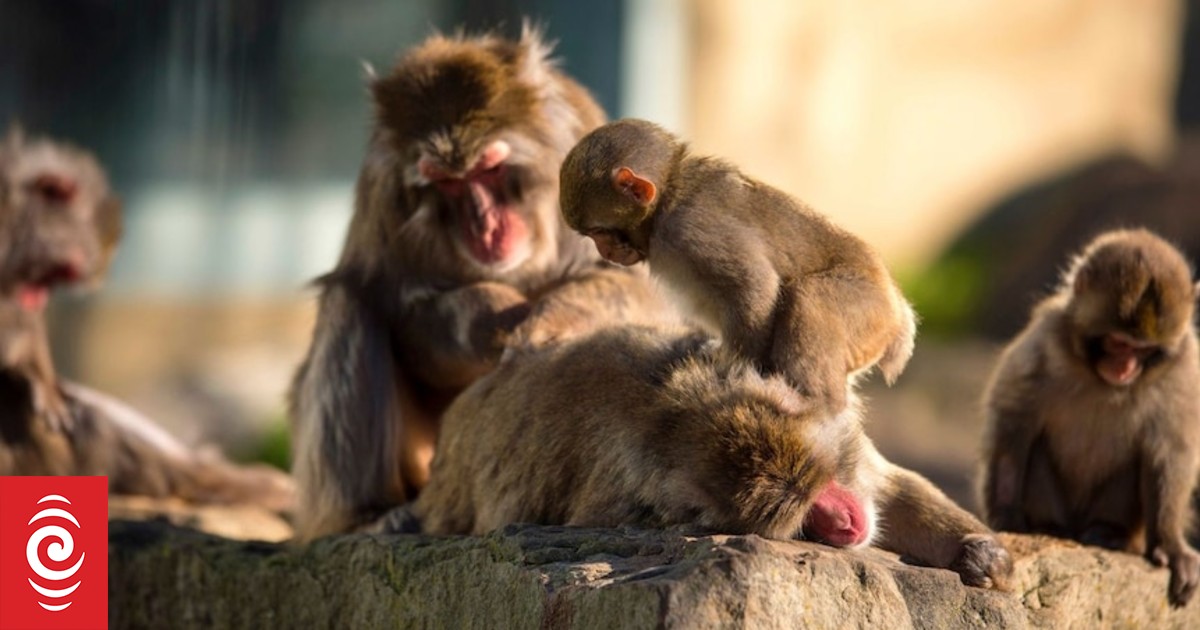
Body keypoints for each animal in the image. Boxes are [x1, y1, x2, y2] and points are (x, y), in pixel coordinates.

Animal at [288, 27, 673, 542]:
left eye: (489, 169)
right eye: (448, 182)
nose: (485, 226)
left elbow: (637, 285)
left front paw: (549, 319)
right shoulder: (384, 189)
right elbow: (404, 312)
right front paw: (492, 319)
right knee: (350, 301)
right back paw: (365, 515)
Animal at [383, 324, 1012, 591]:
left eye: (824, 492)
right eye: (806, 514)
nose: (846, 521)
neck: (681, 416)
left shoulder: (844, 443)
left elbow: (893, 488)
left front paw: (979, 551)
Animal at [558, 118, 917, 414]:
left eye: (599, 233)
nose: (604, 251)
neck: (669, 195)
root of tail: (898, 313)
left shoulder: (690, 227)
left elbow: (755, 284)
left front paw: (738, 369)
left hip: (868, 311)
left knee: (810, 296)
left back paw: (814, 402)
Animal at [979, 228, 1200, 606]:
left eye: (1143, 350)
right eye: (1118, 343)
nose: (1125, 368)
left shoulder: (1184, 368)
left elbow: (1171, 454)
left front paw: (1170, 545)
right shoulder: (1044, 339)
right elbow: (1014, 423)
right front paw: (1006, 512)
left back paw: (1105, 532)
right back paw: (1049, 526)